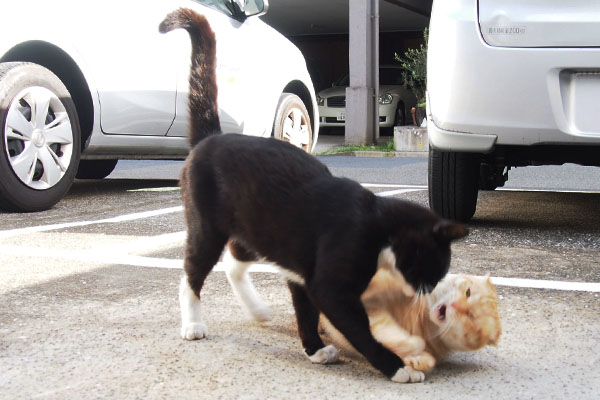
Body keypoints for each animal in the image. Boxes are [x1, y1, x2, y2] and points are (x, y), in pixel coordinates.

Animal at [159, 9, 468, 382]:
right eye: (433, 269)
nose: (430, 295)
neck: (380, 226)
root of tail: (212, 137)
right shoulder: (330, 283)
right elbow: (358, 328)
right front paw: (396, 366)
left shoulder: (303, 274)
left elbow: (306, 310)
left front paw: (315, 349)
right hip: (209, 226)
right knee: (192, 271)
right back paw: (193, 324)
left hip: (261, 229)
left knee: (234, 261)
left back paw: (257, 310)